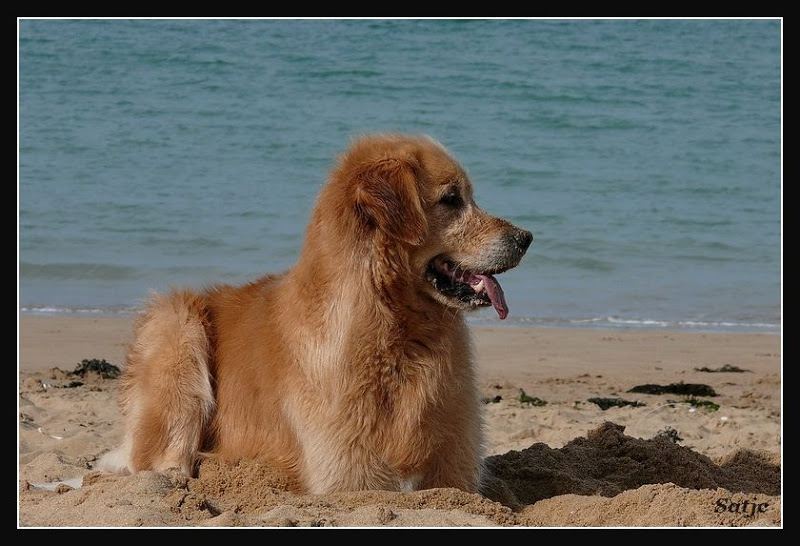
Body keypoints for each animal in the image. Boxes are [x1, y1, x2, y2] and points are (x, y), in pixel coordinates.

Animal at [98, 133, 532, 492]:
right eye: (451, 199)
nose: (526, 237)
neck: (398, 333)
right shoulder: (348, 472)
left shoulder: (456, 469)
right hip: (177, 328)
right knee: (159, 461)